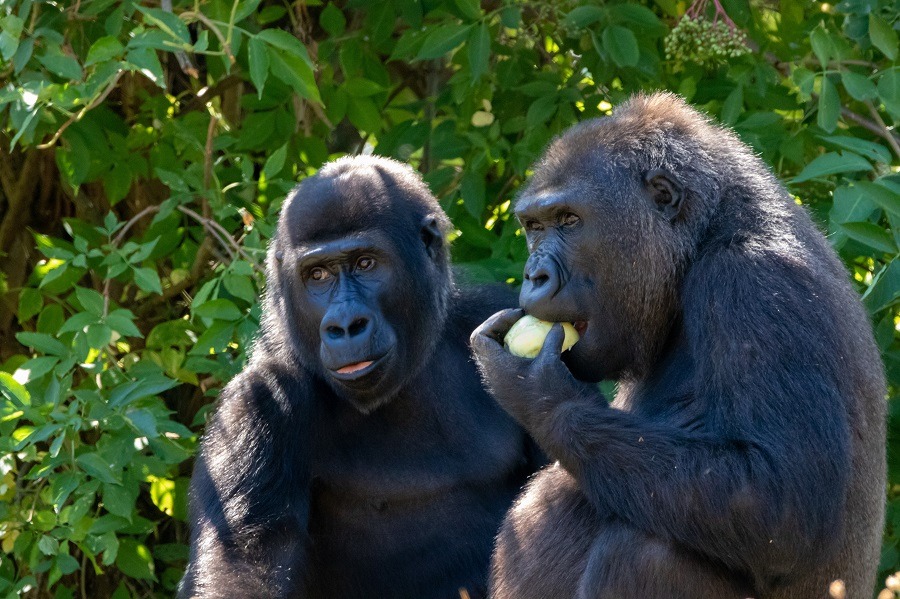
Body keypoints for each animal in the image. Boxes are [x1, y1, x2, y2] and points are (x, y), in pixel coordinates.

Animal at [178, 156, 536, 599]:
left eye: (365, 263)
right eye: (317, 275)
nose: (346, 325)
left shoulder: (492, 310)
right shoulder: (255, 404)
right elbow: (240, 563)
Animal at [472, 91, 884, 596]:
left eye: (568, 221)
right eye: (533, 226)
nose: (534, 276)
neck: (706, 235)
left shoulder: (755, 281)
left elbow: (781, 505)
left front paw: (539, 394)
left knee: (648, 550)